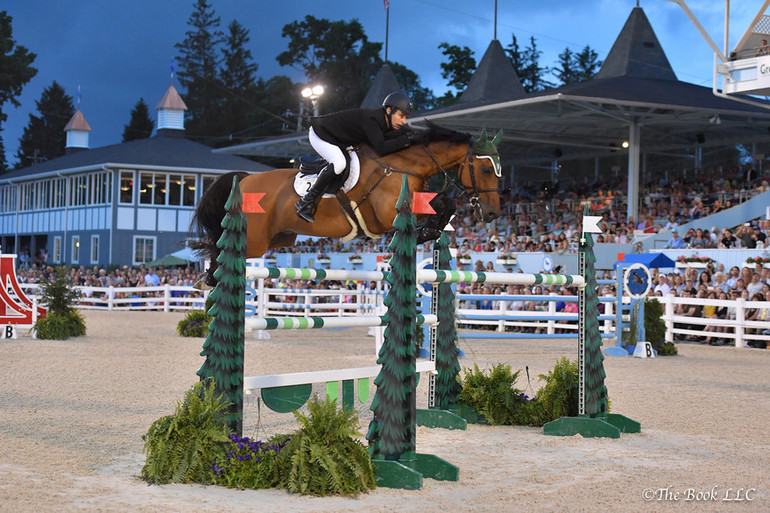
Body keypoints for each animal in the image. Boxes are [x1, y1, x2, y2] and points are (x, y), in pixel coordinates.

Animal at [189, 122, 500, 286]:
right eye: (486, 169)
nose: (492, 213)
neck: (404, 164)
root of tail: (244, 180)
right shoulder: (387, 212)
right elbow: (440, 203)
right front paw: (426, 230)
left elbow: (444, 204)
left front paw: (430, 231)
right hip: (254, 240)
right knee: (220, 247)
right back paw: (210, 278)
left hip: (278, 238)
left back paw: (208, 278)